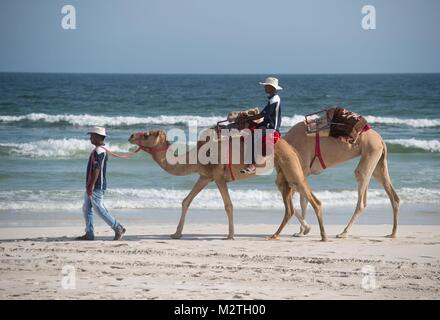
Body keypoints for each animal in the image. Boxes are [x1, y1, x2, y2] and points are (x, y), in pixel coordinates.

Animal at [127, 129, 326, 241]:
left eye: (146, 134)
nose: (131, 136)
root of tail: (290, 147)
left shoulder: (218, 176)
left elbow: (228, 205)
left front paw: (230, 235)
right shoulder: (205, 176)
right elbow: (186, 201)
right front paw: (176, 234)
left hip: (291, 168)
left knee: (313, 200)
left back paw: (323, 236)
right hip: (283, 175)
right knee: (291, 206)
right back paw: (275, 235)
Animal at [270, 121, 400, 239]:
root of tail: (381, 139)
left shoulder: (300, 172)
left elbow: (300, 200)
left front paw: (305, 230)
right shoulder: (302, 174)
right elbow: (304, 201)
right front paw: (301, 232)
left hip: (370, 153)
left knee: (361, 198)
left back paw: (344, 233)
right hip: (378, 162)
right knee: (393, 196)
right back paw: (392, 233)